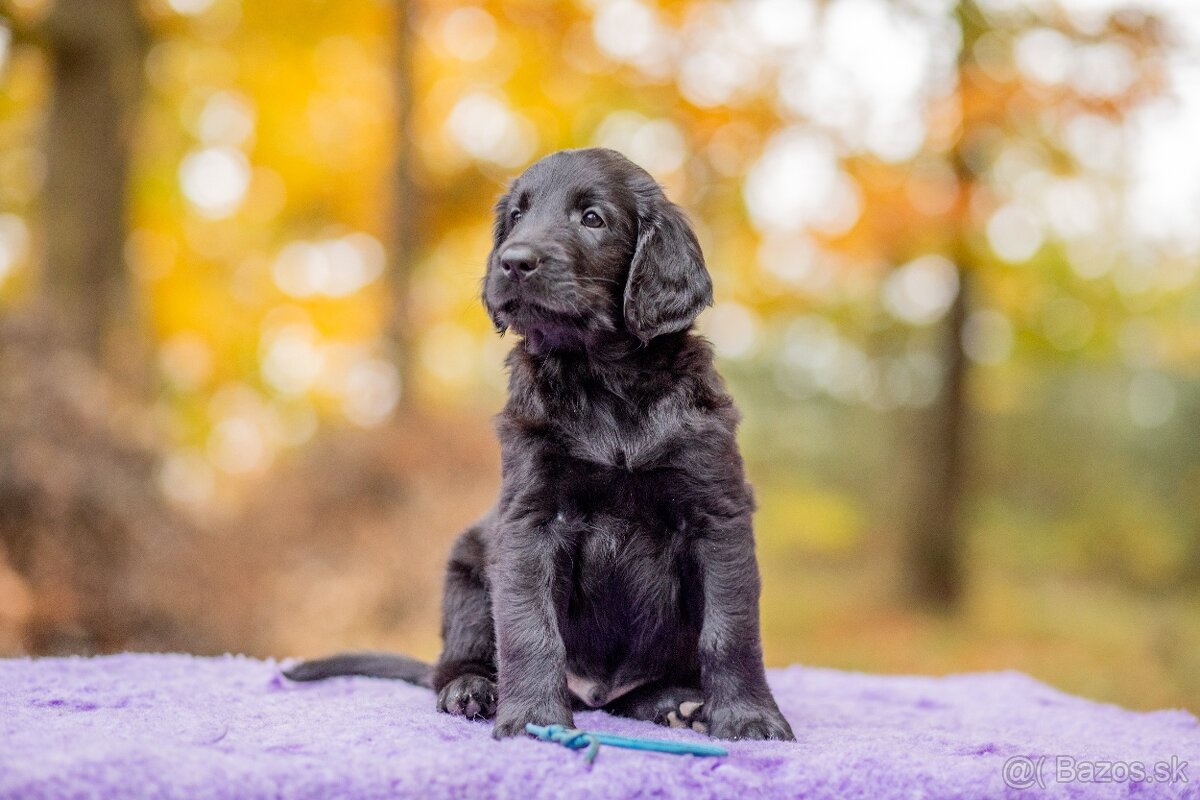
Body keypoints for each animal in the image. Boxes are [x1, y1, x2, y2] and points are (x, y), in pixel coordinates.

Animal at [286, 146, 796, 743]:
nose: (512, 261)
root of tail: (595, 693)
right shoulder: (530, 518)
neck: (606, 381)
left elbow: (730, 631)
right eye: (517, 216)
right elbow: (530, 629)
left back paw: (676, 702)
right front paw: (533, 718)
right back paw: (472, 690)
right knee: (453, 662)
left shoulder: (717, 513)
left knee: (638, 693)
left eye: (593, 218)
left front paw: (748, 717)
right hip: (466, 569)